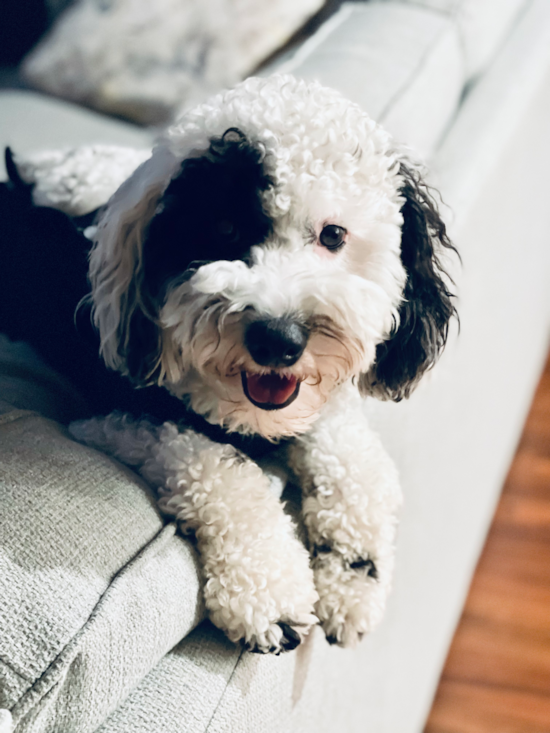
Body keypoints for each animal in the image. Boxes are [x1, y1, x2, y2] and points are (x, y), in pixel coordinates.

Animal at [0, 74, 458, 652]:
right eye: (222, 230)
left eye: (333, 235)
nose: (278, 340)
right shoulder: (115, 415)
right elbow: (218, 467)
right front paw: (269, 589)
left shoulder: (317, 412)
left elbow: (354, 462)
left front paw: (353, 574)